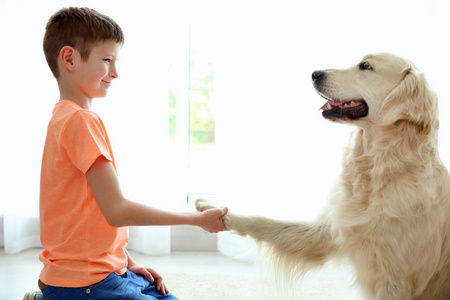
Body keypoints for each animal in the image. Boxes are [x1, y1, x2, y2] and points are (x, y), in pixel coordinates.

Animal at [197, 52, 450, 298]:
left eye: (365, 66)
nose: (315, 73)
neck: (380, 169)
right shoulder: (328, 230)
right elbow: (264, 222)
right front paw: (213, 208)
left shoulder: (395, 281)